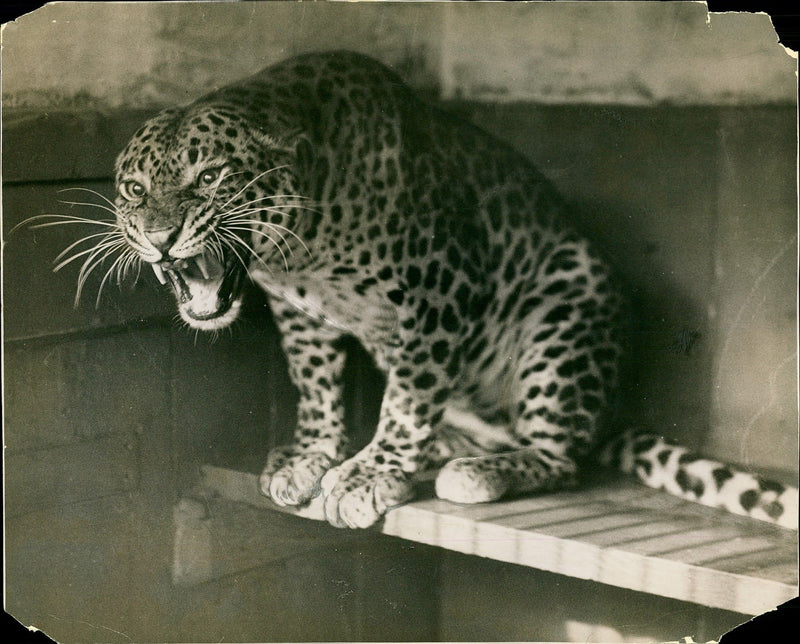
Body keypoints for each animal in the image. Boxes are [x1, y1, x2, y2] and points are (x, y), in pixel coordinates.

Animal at [72, 52, 796, 528]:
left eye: (211, 177)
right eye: (134, 188)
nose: (159, 236)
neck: (301, 246)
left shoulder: (442, 285)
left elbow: (409, 398)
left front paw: (371, 474)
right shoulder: (300, 312)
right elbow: (315, 386)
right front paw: (310, 455)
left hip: (568, 303)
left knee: (562, 456)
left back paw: (479, 469)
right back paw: (453, 446)